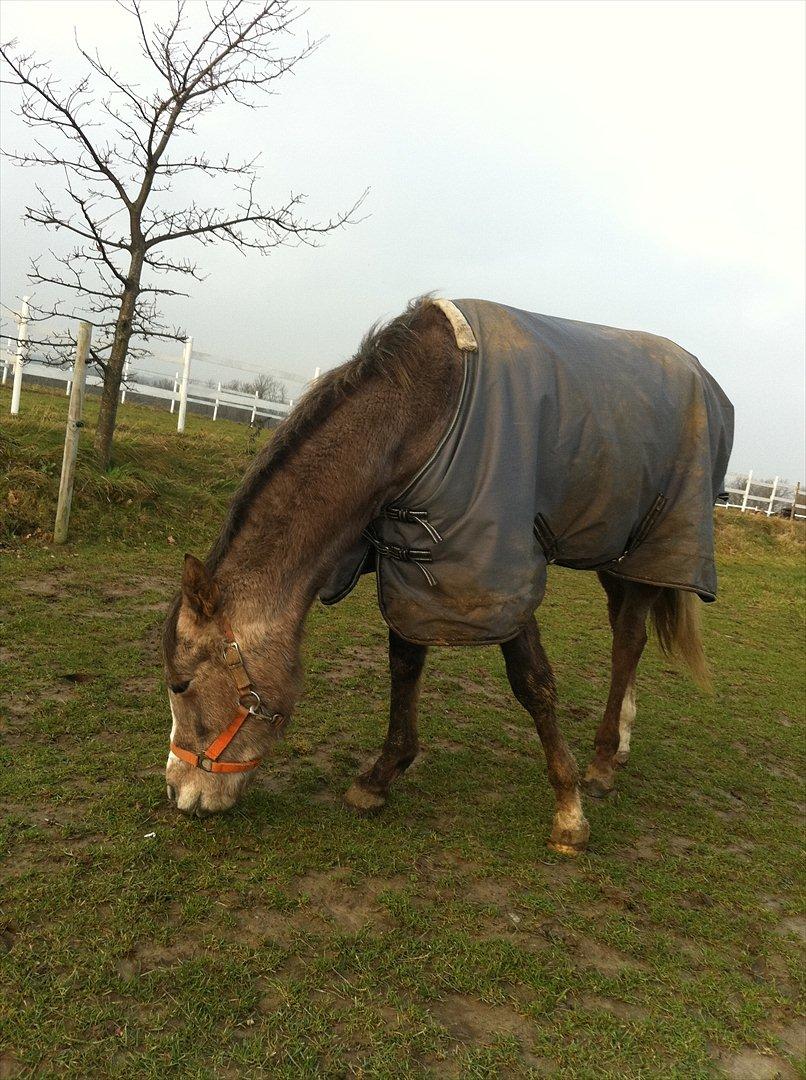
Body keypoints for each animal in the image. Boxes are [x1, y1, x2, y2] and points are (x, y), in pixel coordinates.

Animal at [159, 295, 730, 851]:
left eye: (182, 684)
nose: (177, 791)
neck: (419, 417)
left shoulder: (496, 576)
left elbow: (532, 684)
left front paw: (569, 813)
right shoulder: (414, 567)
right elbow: (404, 664)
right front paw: (380, 778)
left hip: (653, 552)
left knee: (628, 641)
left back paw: (604, 761)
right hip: (615, 553)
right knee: (625, 640)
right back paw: (620, 744)